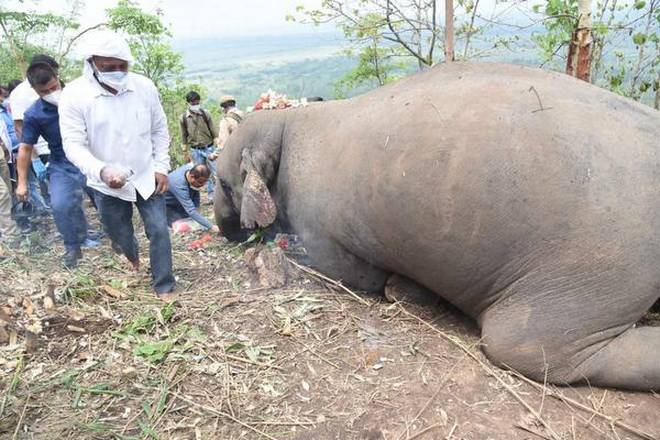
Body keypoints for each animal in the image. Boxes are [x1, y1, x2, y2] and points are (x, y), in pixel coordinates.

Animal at [215, 60, 660, 390]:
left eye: (221, 182)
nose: (227, 232)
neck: (289, 121)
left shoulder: (319, 227)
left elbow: (354, 275)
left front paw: (400, 288)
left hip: (599, 263)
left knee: (528, 346)